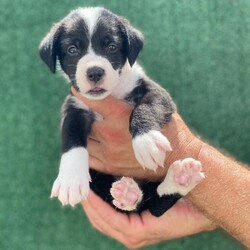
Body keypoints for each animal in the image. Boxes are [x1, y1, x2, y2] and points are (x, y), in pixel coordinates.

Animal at [38, 6, 203, 216]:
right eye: (72, 49)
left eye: (112, 47)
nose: (95, 72)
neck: (111, 94)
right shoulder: (75, 107)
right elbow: (71, 137)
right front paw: (71, 180)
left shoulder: (155, 91)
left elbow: (145, 107)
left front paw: (146, 141)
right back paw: (132, 193)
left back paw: (179, 179)